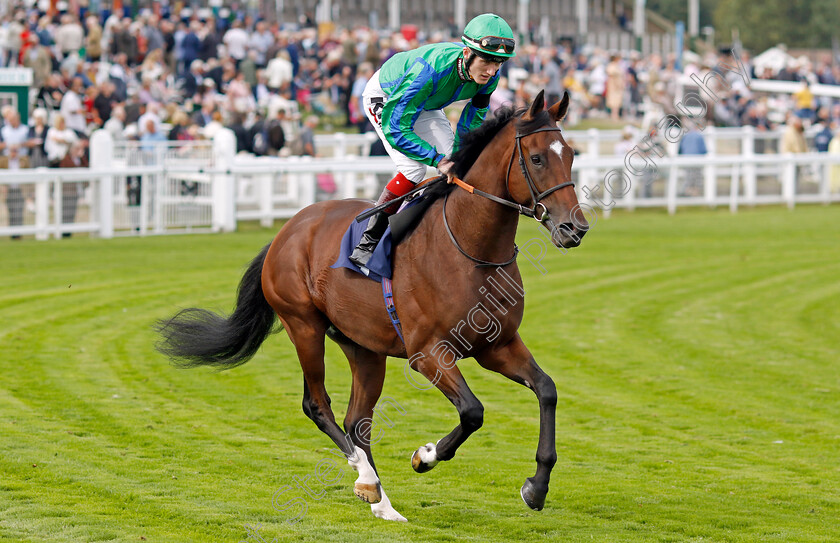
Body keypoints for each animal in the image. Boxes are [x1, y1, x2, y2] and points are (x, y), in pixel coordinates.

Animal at [159, 90, 592, 524]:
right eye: (537, 158)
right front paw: (424, 456)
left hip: (364, 346)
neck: (470, 248)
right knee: (318, 406)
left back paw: (381, 501)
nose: (575, 228)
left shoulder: (497, 346)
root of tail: (287, 230)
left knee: (356, 422)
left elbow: (547, 390)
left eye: (571, 154)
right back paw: (366, 478)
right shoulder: (428, 353)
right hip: (304, 326)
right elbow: (473, 411)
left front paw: (536, 487)